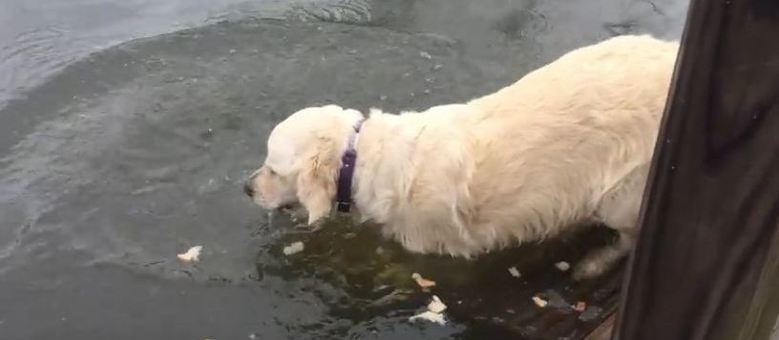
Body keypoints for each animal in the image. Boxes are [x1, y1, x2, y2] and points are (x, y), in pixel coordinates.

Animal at [247, 33, 680, 278]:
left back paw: (594, 263)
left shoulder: (427, 243)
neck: (365, 160)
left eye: (272, 169)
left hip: (623, 192)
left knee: (630, 237)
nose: (245, 189)